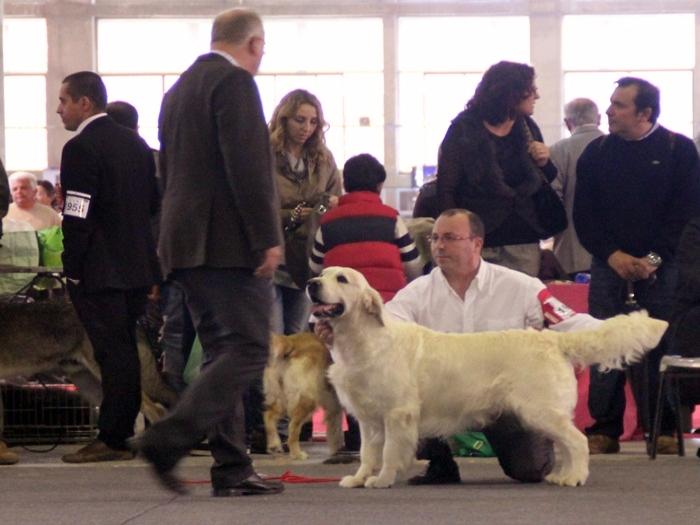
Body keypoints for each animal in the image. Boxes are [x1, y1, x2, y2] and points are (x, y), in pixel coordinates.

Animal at [308, 266, 668, 488]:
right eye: (322, 274)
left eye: (342, 279)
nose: (311, 285)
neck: (363, 341)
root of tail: (551, 339)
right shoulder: (369, 419)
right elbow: (368, 453)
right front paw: (359, 478)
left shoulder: (398, 414)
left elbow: (389, 453)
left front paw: (382, 479)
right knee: (567, 444)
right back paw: (563, 475)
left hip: (540, 410)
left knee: (577, 441)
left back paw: (575, 477)